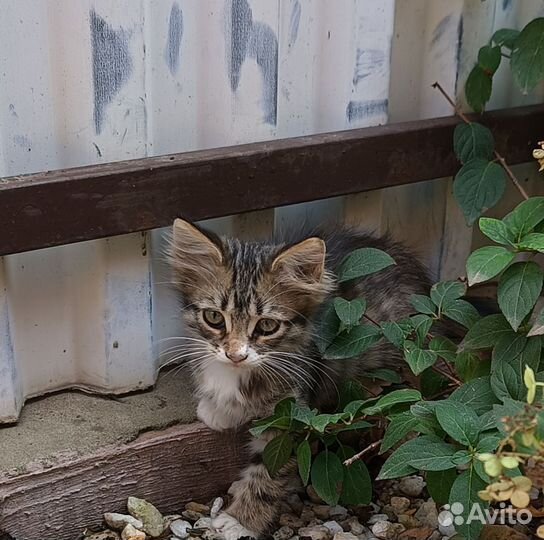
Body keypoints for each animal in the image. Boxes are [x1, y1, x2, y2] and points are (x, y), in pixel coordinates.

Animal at [168, 218, 432, 540]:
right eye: (214, 318)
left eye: (267, 326)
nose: (235, 354)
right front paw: (217, 409)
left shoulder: (290, 418)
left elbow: (267, 474)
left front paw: (241, 521)